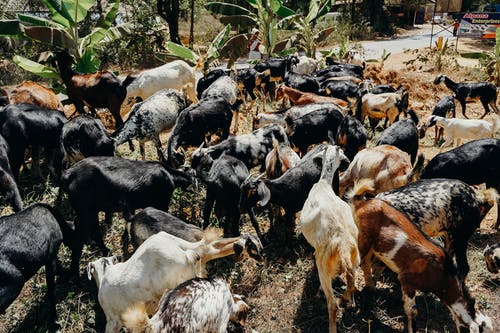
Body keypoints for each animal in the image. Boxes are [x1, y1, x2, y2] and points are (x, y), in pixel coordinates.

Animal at [296, 145, 360, 332]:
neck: (324, 183)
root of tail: (343, 246)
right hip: (355, 258)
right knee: (352, 282)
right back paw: (348, 301)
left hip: (323, 267)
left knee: (332, 304)